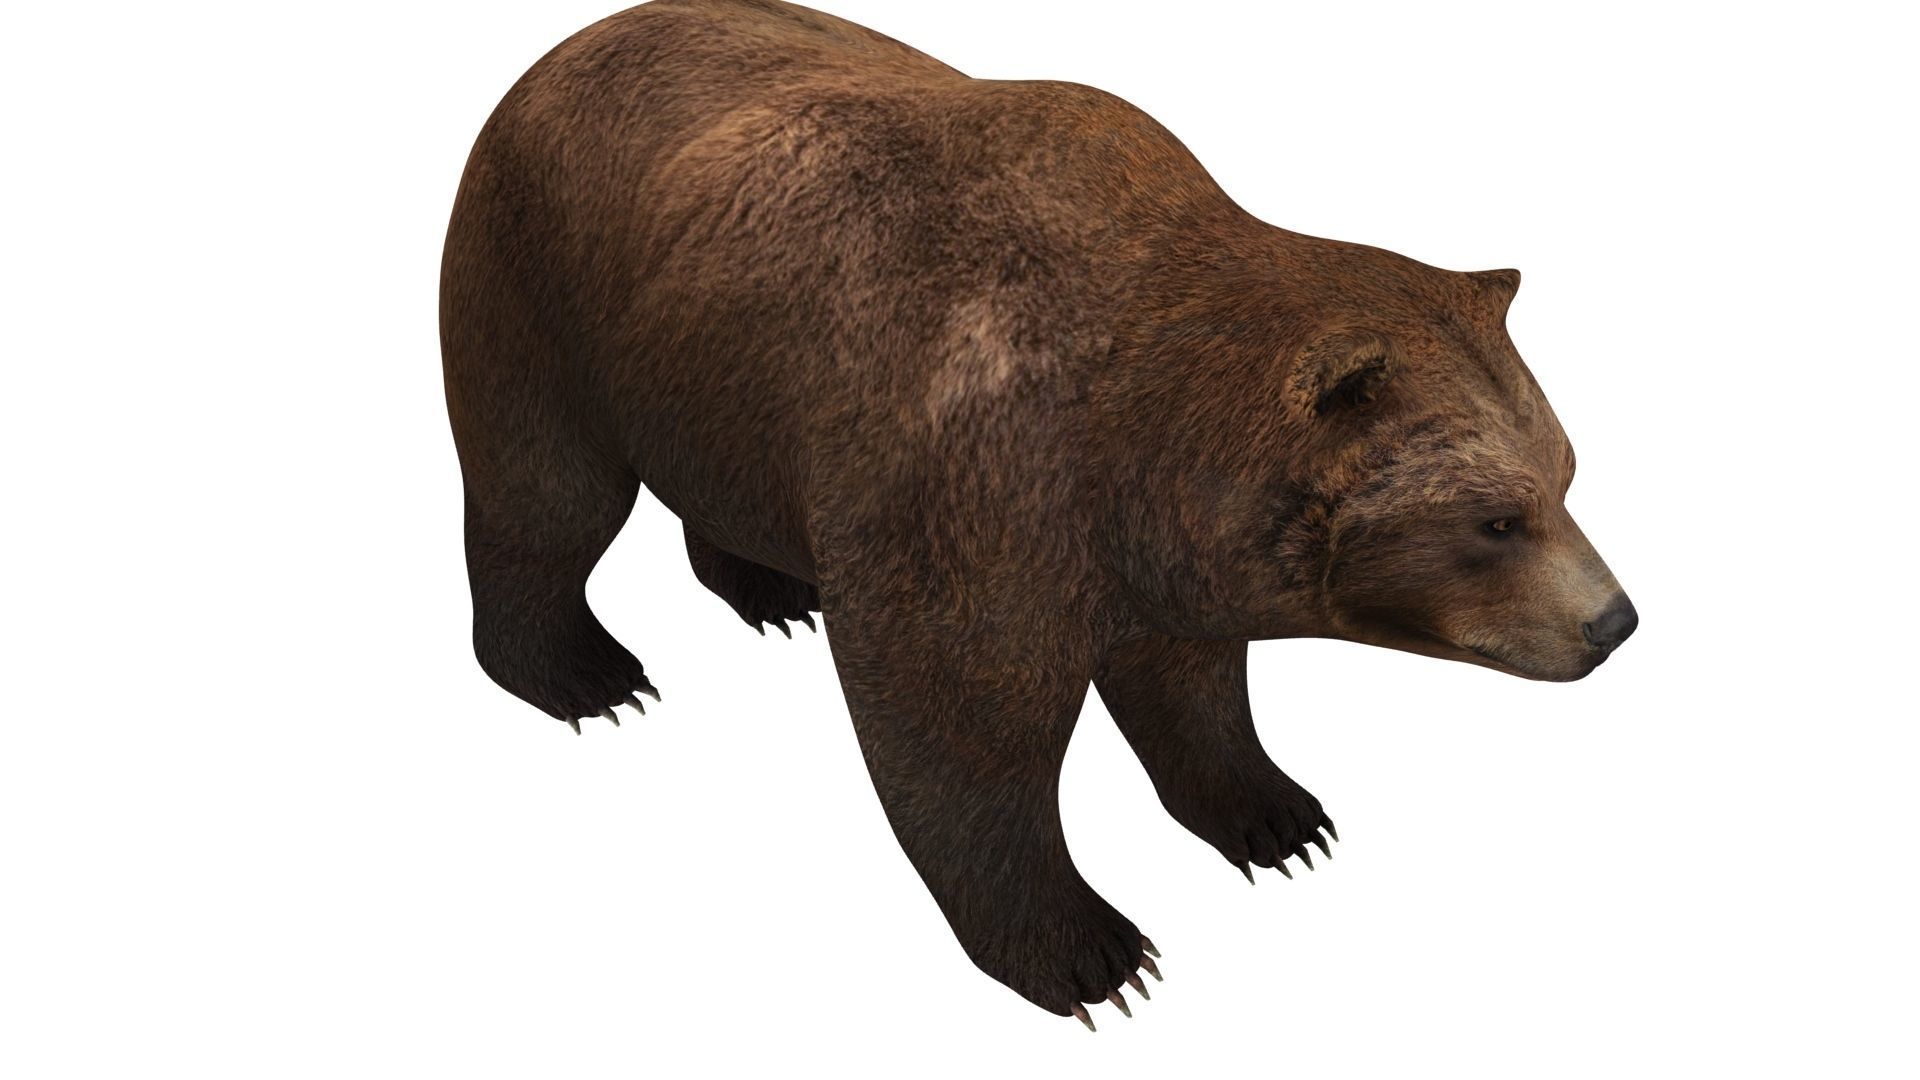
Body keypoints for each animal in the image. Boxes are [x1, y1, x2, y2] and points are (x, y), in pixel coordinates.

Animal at [440, 0, 1638, 1027]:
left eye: (1567, 475)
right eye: (1497, 519)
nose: (1612, 622)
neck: (1144, 450)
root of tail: (573, 42)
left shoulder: (1156, 554)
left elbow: (1189, 688)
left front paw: (1280, 818)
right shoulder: (976, 488)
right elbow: (962, 731)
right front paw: (1093, 953)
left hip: (711, 366)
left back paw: (772, 587)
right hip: (543, 286)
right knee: (546, 493)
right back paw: (584, 674)